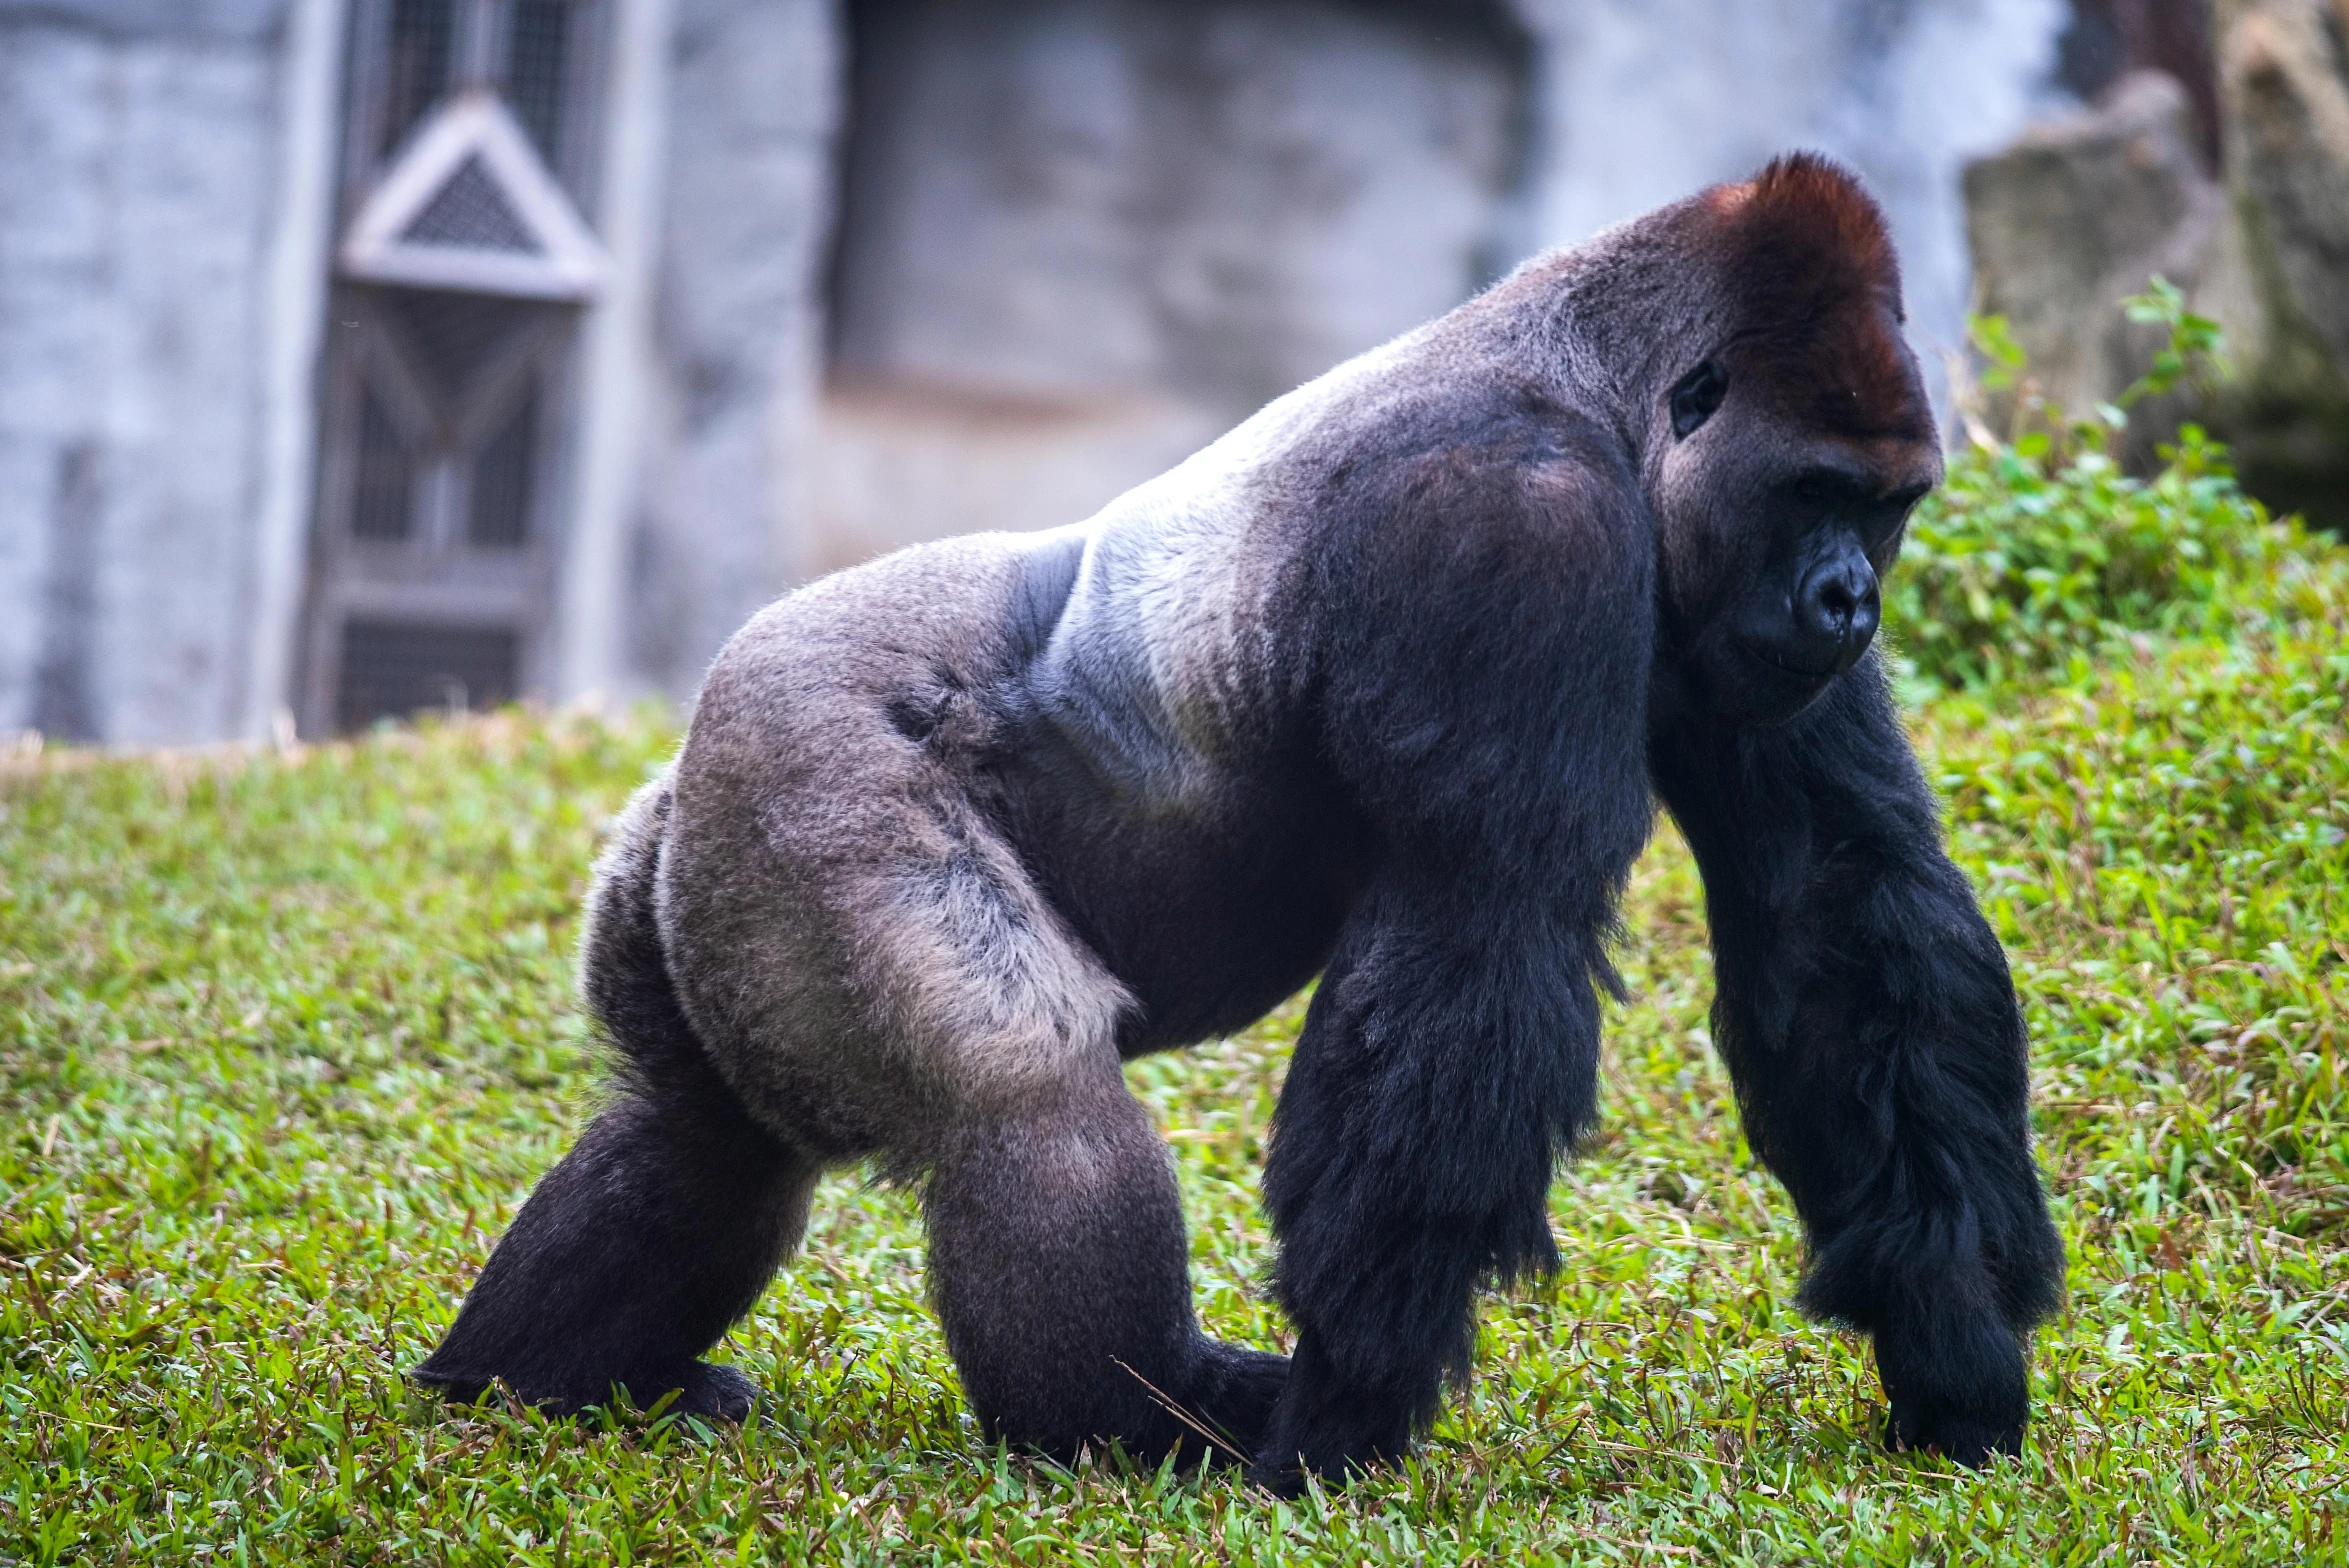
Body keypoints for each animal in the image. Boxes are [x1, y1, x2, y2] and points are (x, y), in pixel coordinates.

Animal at [418, 152, 2057, 1492]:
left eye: (1892, 506)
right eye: (1812, 490)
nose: (1849, 600)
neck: (1602, 380)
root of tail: (707, 717)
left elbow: (1839, 903)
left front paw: (1953, 1333)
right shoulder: (1506, 525)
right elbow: (1476, 930)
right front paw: (1348, 1411)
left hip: (694, 842)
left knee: (702, 1133)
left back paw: (534, 1380)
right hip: (802, 754)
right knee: (1023, 1095)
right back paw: (1122, 1418)